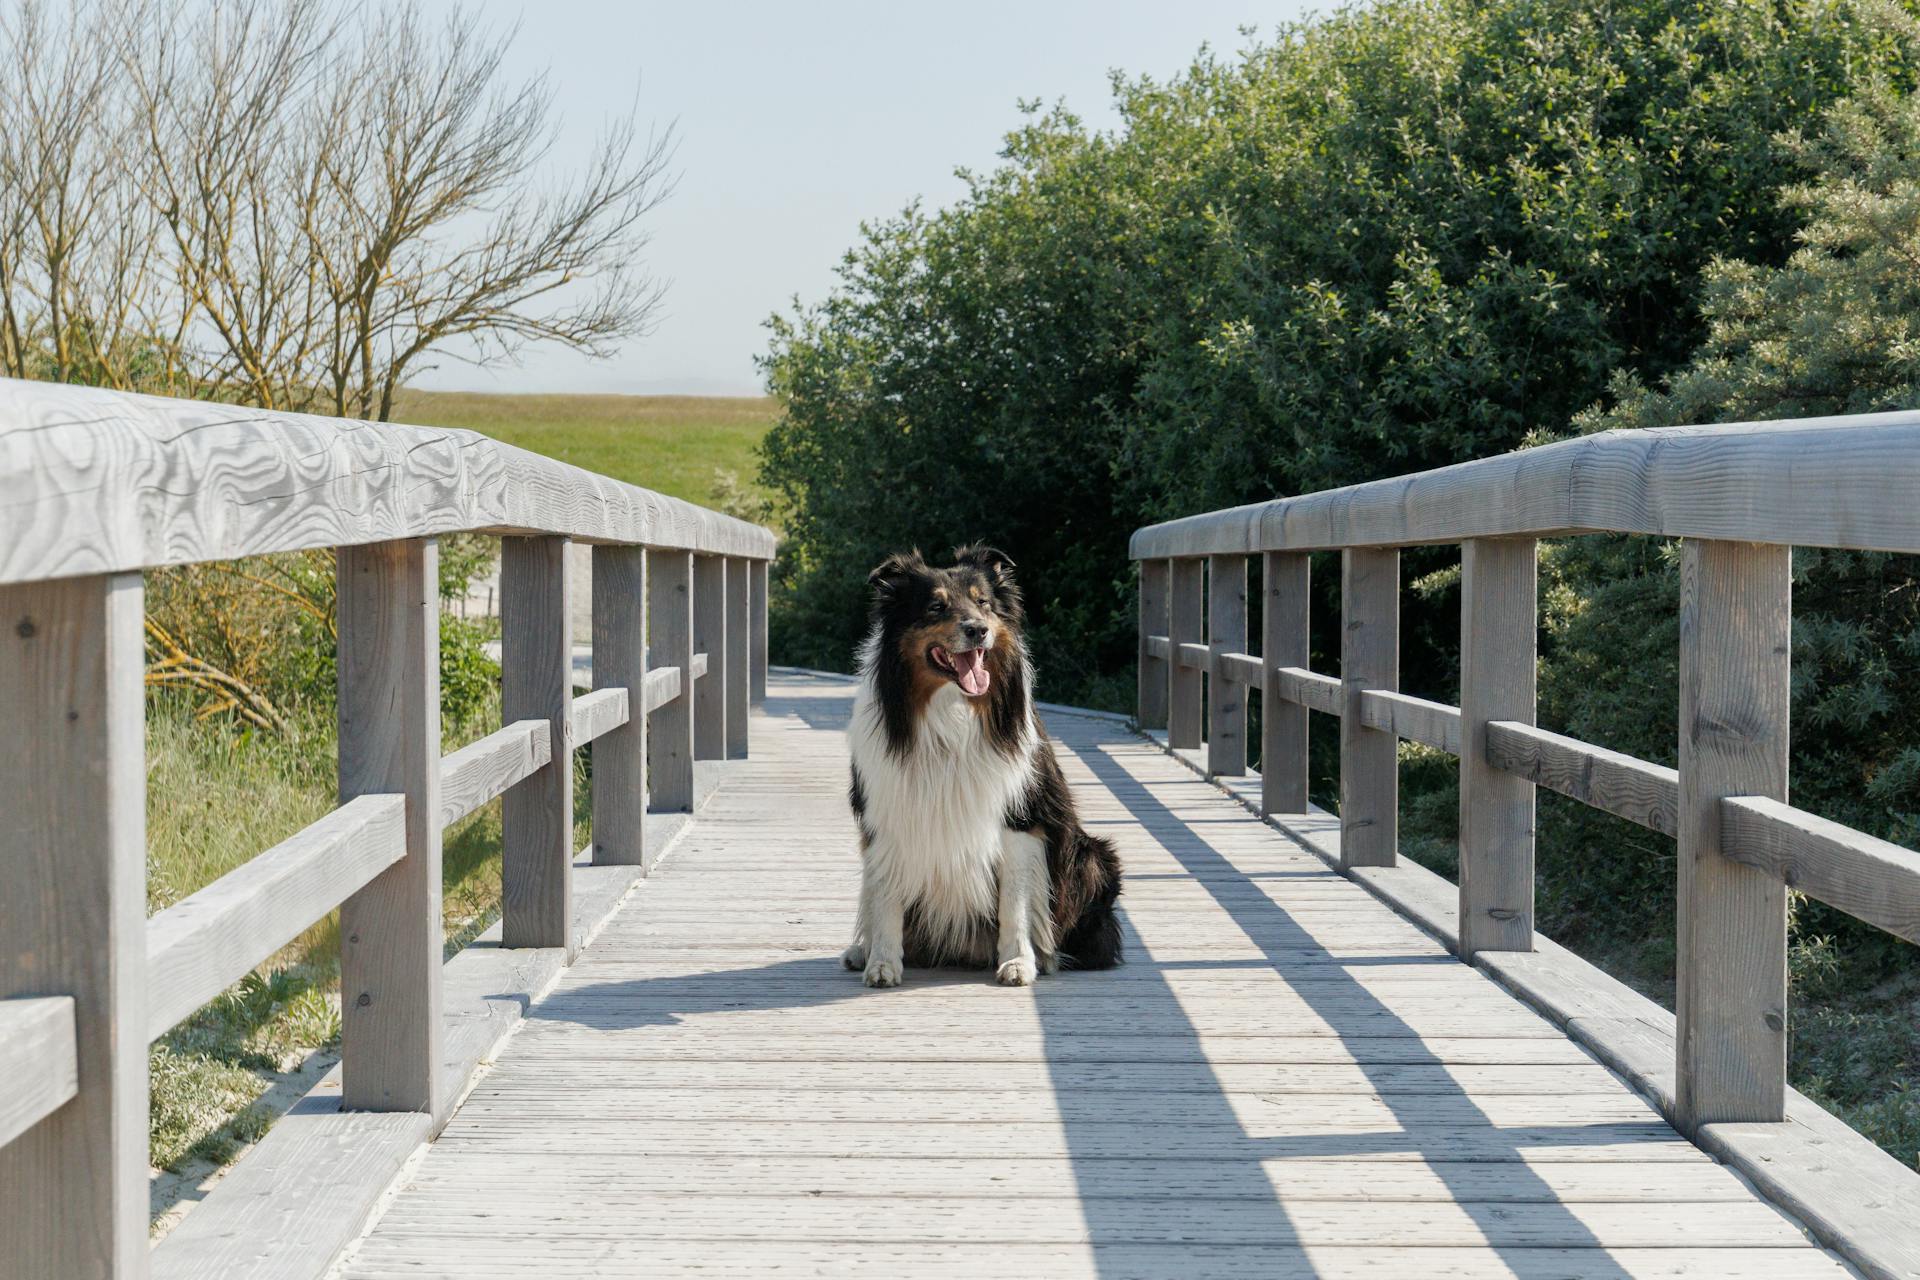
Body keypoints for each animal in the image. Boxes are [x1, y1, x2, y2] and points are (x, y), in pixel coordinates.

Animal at [840, 545, 1121, 990]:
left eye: (983, 602)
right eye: (936, 606)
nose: (978, 630)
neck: (952, 712)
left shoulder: (1021, 820)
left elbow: (1014, 906)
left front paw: (1019, 962)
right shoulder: (886, 814)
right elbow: (884, 897)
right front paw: (882, 962)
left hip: (1091, 856)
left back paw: (1050, 957)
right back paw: (861, 951)